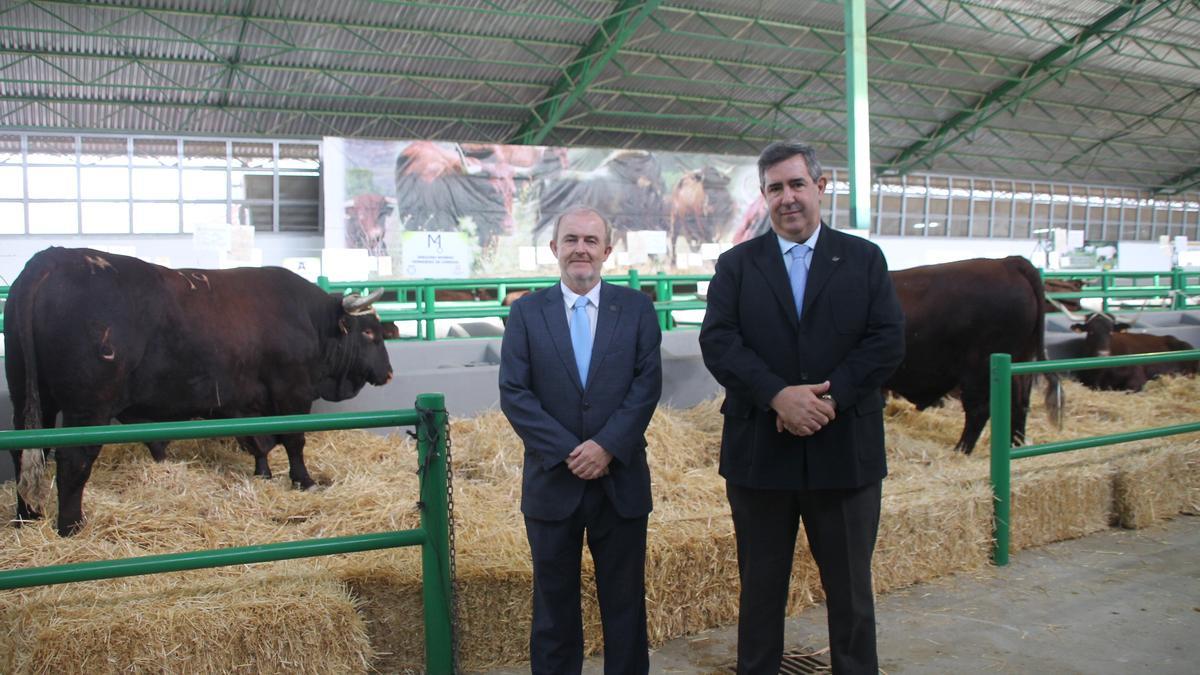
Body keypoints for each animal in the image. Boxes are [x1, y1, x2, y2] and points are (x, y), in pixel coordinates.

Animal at [7, 243, 396, 533]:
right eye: (370, 334)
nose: (390, 372)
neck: (309, 320)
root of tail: (51, 259)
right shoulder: (292, 391)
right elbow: (293, 440)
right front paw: (304, 480)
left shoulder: (245, 400)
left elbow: (259, 440)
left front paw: (263, 473)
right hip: (88, 407)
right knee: (73, 459)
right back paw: (71, 526)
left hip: (29, 396)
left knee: (24, 452)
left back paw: (27, 517)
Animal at [883, 254, 1060, 454]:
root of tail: (1007, 262)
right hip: (1019, 365)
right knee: (1018, 405)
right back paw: (1014, 446)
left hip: (978, 368)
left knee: (979, 410)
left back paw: (960, 450)